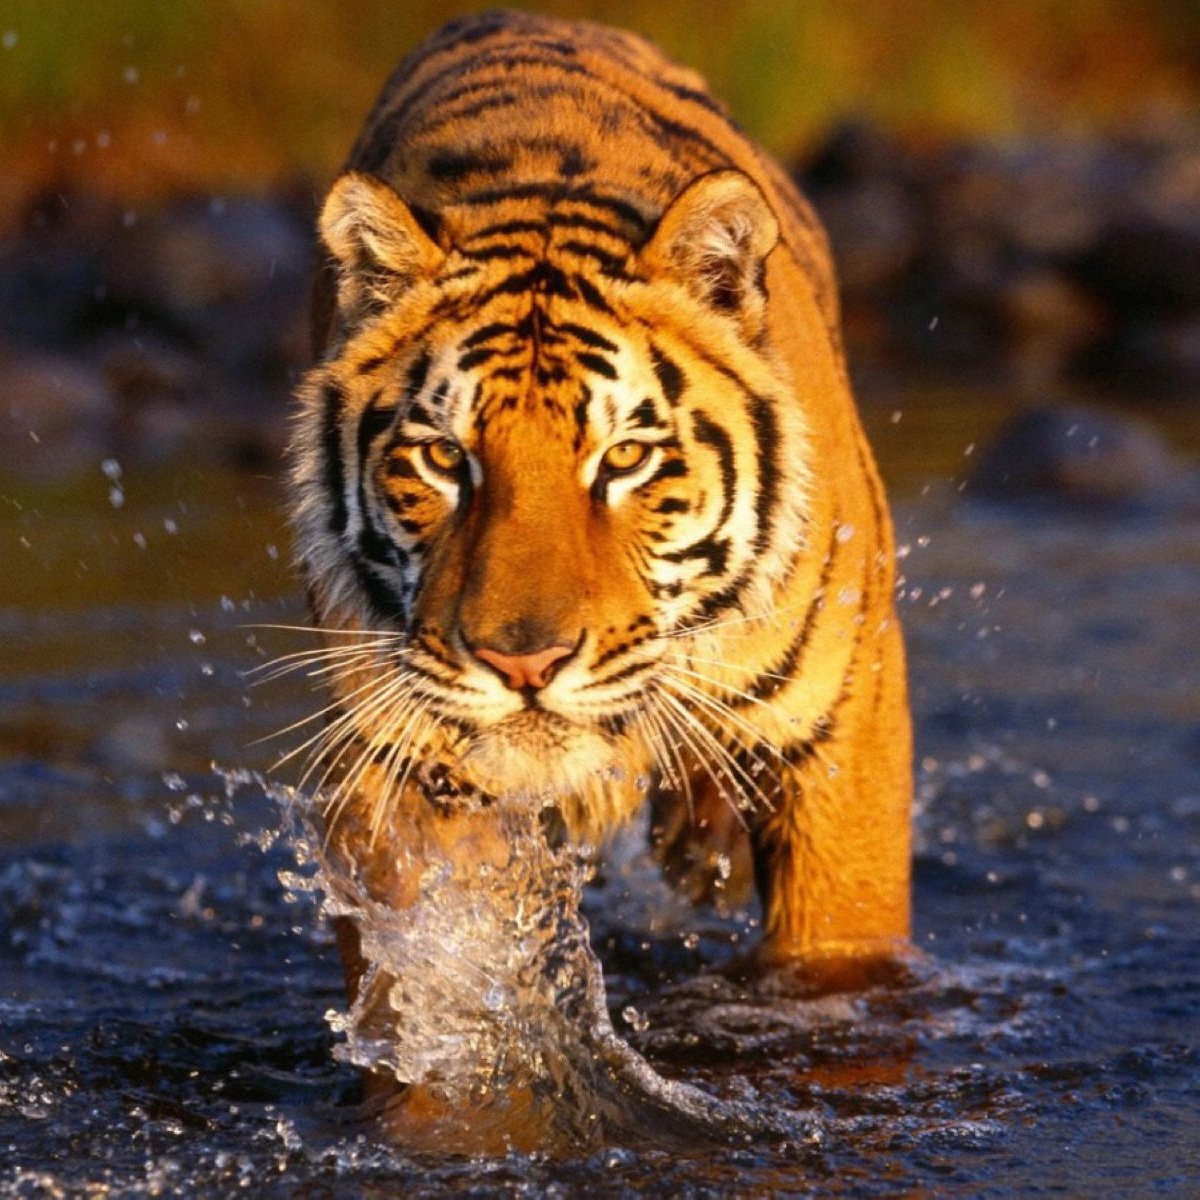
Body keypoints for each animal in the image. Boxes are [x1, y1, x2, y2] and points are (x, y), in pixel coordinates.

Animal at [288, 10, 912, 999]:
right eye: (444, 457)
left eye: (624, 458)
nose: (524, 665)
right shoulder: (394, 762)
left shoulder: (842, 731)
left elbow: (837, 948)